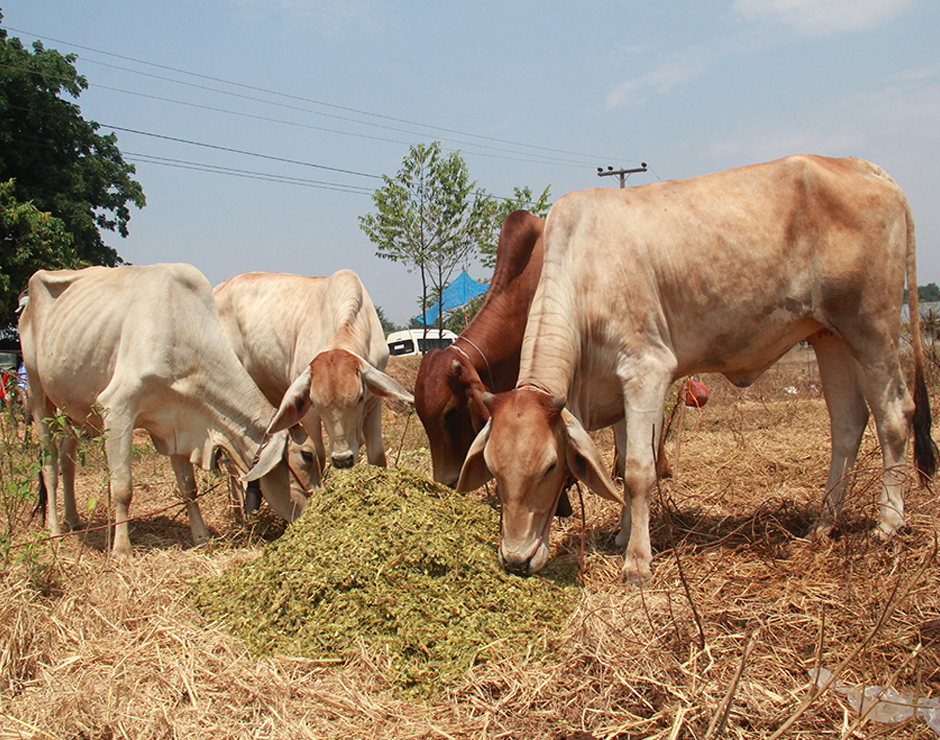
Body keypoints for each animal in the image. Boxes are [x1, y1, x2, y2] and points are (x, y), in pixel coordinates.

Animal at [21, 264, 308, 556]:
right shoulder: (117, 408)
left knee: (67, 461)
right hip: (37, 391)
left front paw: (201, 537)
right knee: (49, 464)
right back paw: (55, 531)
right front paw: (122, 549)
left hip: (72, 411)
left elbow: (188, 488)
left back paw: (73, 519)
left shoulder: (178, 421)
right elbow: (122, 488)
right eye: (305, 456)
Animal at [217, 270, 414, 508]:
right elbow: (318, 455)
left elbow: (377, 455)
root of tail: (219, 288)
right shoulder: (309, 412)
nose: (342, 459)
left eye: (358, 398)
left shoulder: (374, 401)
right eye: (317, 403)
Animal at [456, 156, 932, 584]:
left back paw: (888, 524)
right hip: (829, 335)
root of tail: (867, 167)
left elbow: (638, 470)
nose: (515, 558)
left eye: (550, 467)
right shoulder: (620, 389)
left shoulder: (647, 369)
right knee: (848, 424)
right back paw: (823, 525)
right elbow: (623, 465)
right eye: (494, 469)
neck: (583, 271)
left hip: (871, 326)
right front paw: (623, 536)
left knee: (894, 416)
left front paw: (637, 563)